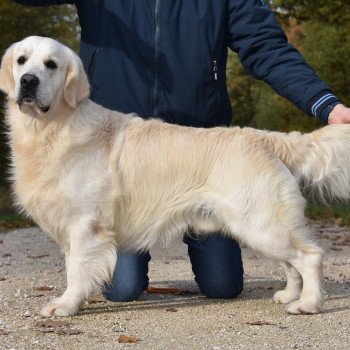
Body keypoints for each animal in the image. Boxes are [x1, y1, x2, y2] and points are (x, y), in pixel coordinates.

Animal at [0, 36, 350, 318]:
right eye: (22, 60)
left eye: (51, 64)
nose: (28, 81)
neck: (51, 127)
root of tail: (265, 138)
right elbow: (74, 266)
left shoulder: (86, 224)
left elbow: (76, 270)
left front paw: (65, 305)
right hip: (260, 227)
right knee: (291, 264)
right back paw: (289, 295)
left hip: (261, 223)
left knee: (310, 257)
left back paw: (308, 304)